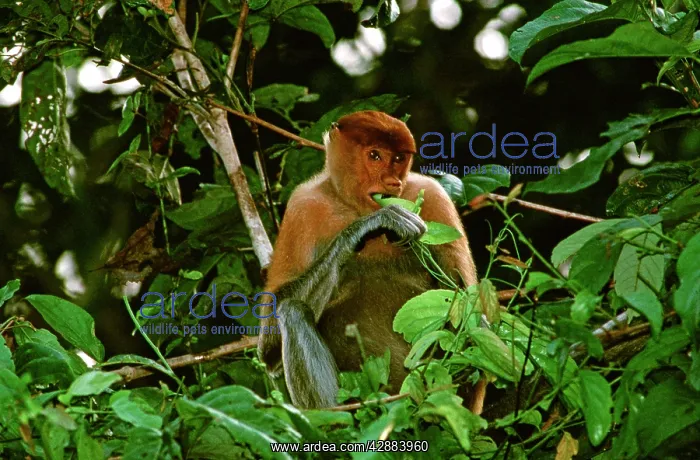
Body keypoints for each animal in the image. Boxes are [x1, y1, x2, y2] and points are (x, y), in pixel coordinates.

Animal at [257, 111, 478, 409]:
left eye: (398, 158)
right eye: (375, 155)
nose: (392, 183)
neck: (354, 206)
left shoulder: (433, 195)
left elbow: (471, 305)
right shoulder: (301, 206)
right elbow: (269, 343)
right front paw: (371, 225)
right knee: (292, 311)